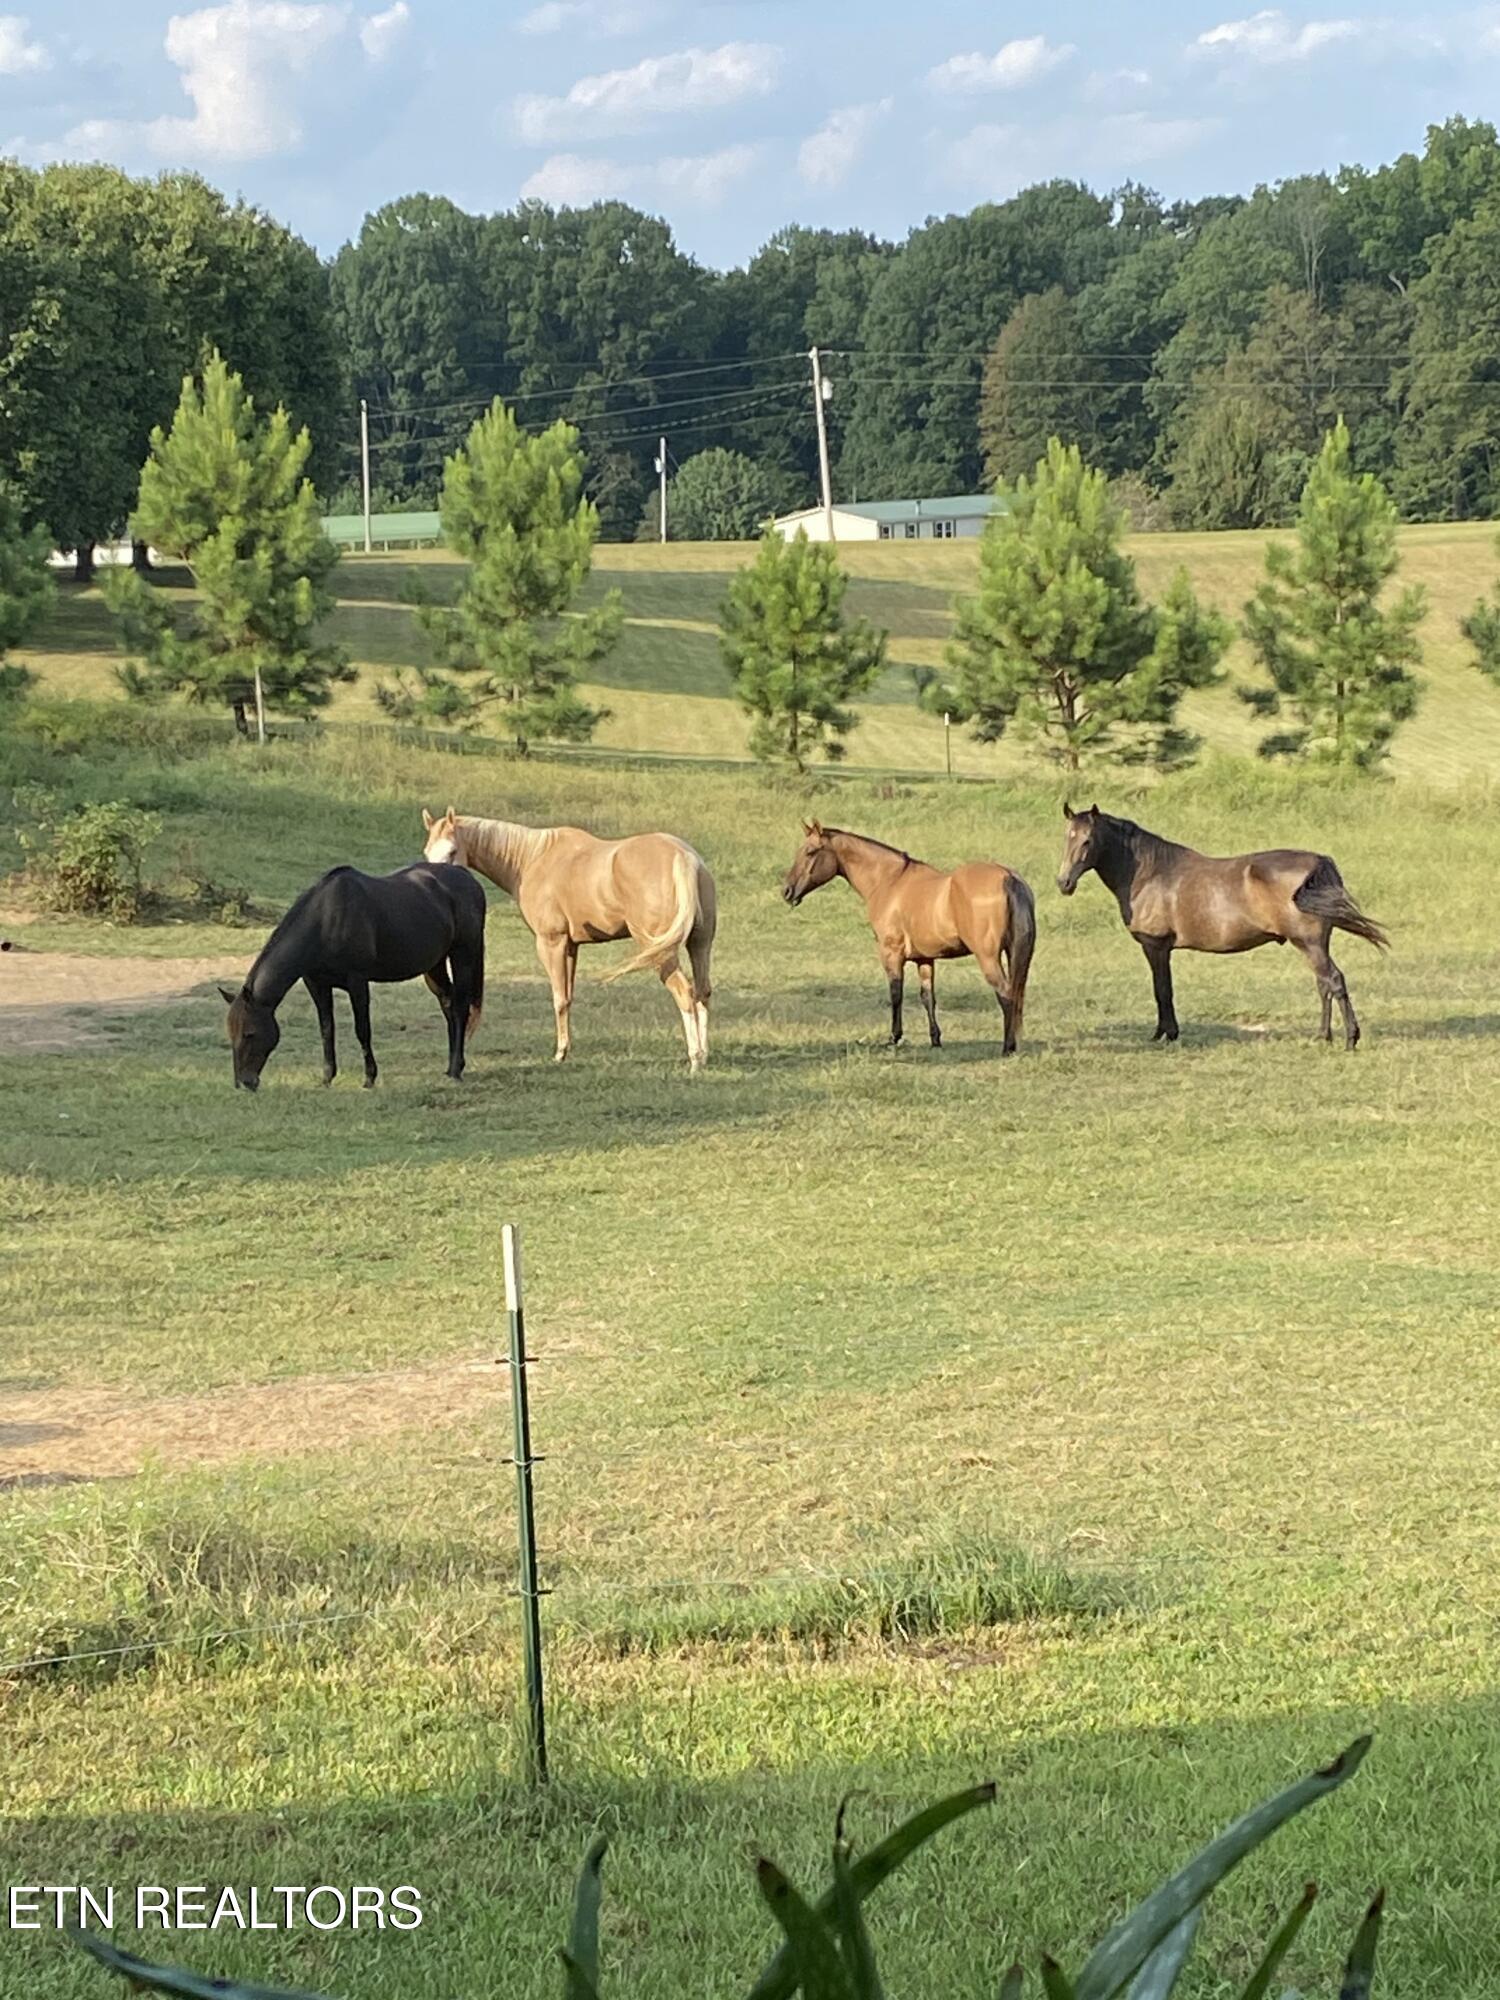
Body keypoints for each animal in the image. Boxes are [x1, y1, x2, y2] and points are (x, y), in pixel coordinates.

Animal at [220, 862, 487, 1090]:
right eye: (231, 1033)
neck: (325, 920)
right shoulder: (317, 984)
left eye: (250, 1033)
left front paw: (369, 1078)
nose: (244, 1082)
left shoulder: (357, 982)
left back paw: (455, 1070)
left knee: (460, 1008)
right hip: (435, 965)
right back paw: (452, 1066)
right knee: (448, 1004)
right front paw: (327, 1078)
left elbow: (362, 1029)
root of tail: (469, 880)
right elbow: (326, 1030)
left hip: (463, 955)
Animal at [420, 807, 716, 1071]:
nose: (437, 881)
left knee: (684, 993)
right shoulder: (572, 946)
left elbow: (559, 998)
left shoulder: (551, 942)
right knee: (702, 992)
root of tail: (684, 857)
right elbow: (569, 996)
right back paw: (703, 1056)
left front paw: (560, 1053)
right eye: (427, 852)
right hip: (699, 945)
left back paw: (694, 1058)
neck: (532, 859)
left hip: (659, 950)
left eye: (452, 851)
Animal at [782, 821, 1036, 1053]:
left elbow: (896, 993)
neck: (889, 881)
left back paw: (1007, 1048)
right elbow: (927, 997)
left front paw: (894, 1038)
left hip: (988, 958)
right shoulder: (925, 959)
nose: (787, 891)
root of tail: (1008, 877)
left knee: (1006, 994)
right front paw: (935, 1039)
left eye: (810, 852)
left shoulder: (891, 953)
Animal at [1055, 803, 1388, 1048]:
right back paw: (1323, 1036)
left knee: (1333, 980)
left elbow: (1162, 990)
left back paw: (1349, 1039)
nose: (1064, 883)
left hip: (1310, 943)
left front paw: (1166, 1034)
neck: (1149, 874)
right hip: (1313, 945)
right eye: (1066, 838)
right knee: (1324, 985)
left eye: (1087, 840)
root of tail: (1317, 862)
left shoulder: (1156, 946)